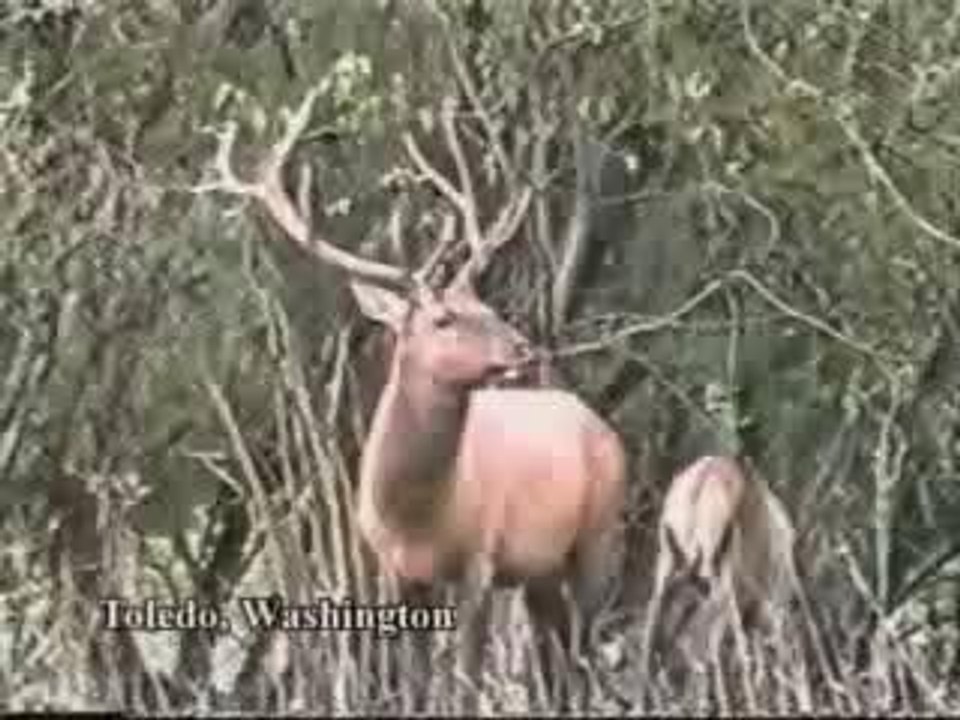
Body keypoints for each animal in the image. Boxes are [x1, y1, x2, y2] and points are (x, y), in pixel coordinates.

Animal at [200, 88, 628, 710]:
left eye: (487, 305)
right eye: (444, 318)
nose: (523, 347)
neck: (420, 516)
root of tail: (599, 424)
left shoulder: (478, 562)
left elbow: (466, 684)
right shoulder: (395, 572)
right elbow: (419, 682)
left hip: (598, 534)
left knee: (585, 648)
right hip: (540, 570)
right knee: (559, 658)